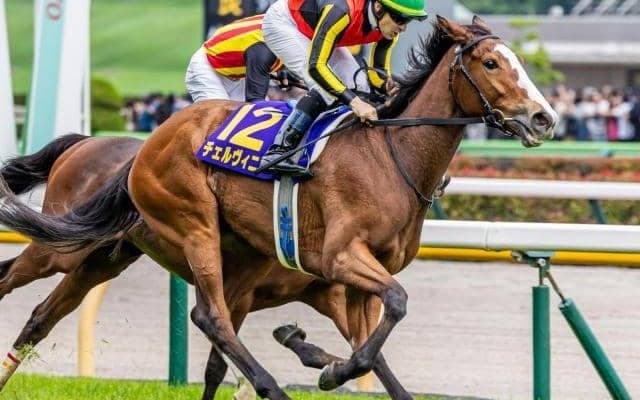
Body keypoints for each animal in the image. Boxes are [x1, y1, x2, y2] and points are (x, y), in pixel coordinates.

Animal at [0, 16, 556, 400]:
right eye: (491, 63)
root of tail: (145, 147)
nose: (544, 118)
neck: (388, 153)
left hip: (104, 257)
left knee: (44, 316)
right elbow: (392, 310)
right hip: (154, 231)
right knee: (207, 316)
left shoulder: (350, 286)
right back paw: (272, 385)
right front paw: (321, 365)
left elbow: (371, 353)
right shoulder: (339, 260)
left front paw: (326, 362)